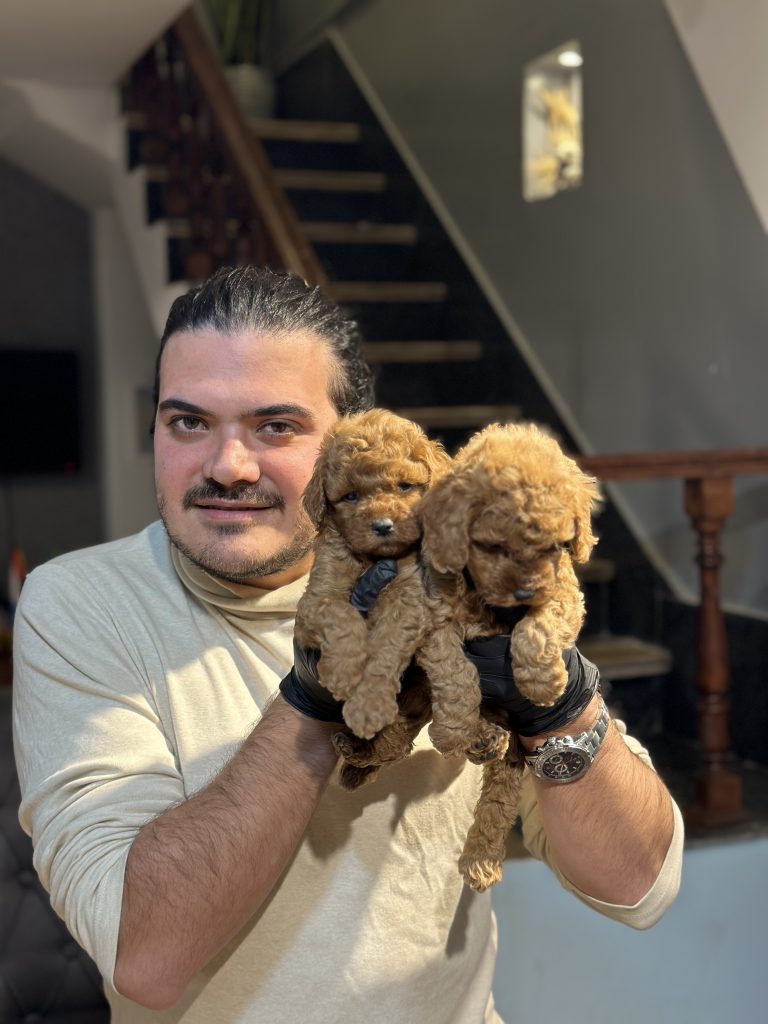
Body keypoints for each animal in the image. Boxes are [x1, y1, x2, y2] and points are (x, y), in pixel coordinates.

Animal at [296, 407, 512, 774]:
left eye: (404, 486)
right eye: (351, 496)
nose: (383, 526)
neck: (374, 561)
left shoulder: (412, 601)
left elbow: (386, 649)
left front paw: (368, 703)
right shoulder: (315, 597)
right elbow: (339, 615)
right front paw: (343, 671)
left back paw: (484, 738)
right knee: (395, 745)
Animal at [417, 419, 606, 892]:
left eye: (555, 546)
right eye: (493, 546)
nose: (524, 592)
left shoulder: (563, 591)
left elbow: (537, 627)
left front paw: (544, 684)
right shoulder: (435, 615)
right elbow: (452, 668)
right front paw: (453, 729)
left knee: (498, 802)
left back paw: (480, 861)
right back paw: (481, 736)